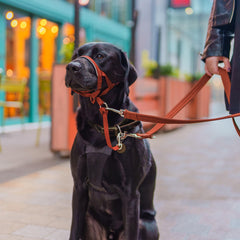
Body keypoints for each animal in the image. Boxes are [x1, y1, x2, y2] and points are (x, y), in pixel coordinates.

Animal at [65, 42, 158, 239]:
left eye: (100, 56)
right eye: (75, 55)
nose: (71, 67)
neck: (101, 124)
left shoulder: (130, 194)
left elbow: (131, 233)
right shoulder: (79, 187)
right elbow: (74, 230)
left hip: (145, 224)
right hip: (89, 219)